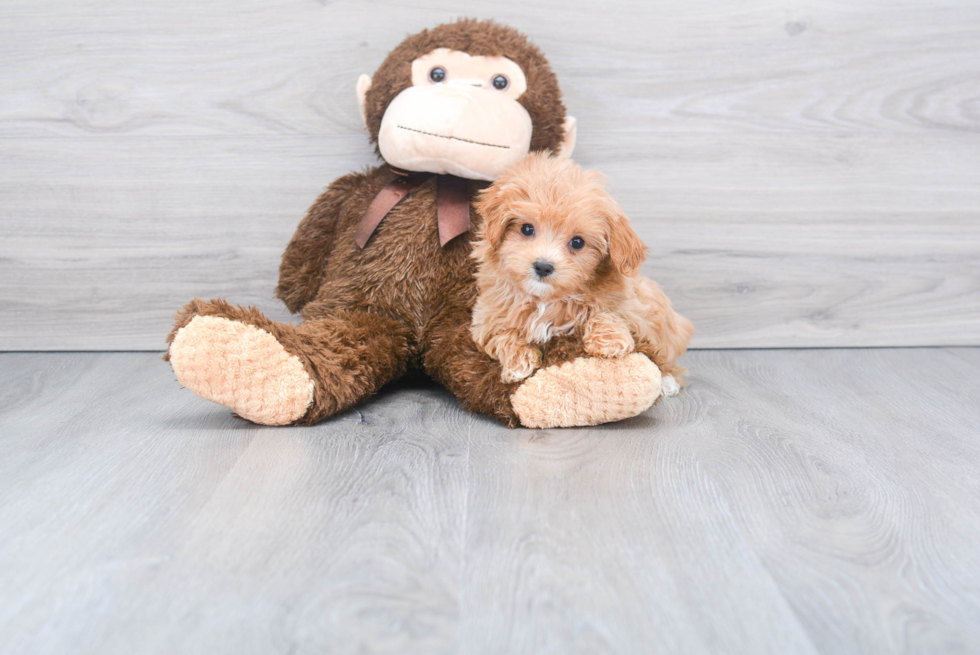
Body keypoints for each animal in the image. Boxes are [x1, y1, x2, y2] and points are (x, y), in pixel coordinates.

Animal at [470, 151, 692, 392]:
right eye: (527, 229)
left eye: (577, 242)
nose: (543, 266)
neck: (546, 300)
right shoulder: (486, 316)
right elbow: (502, 333)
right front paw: (518, 362)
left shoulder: (635, 311)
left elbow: (608, 311)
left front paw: (609, 341)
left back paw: (668, 382)